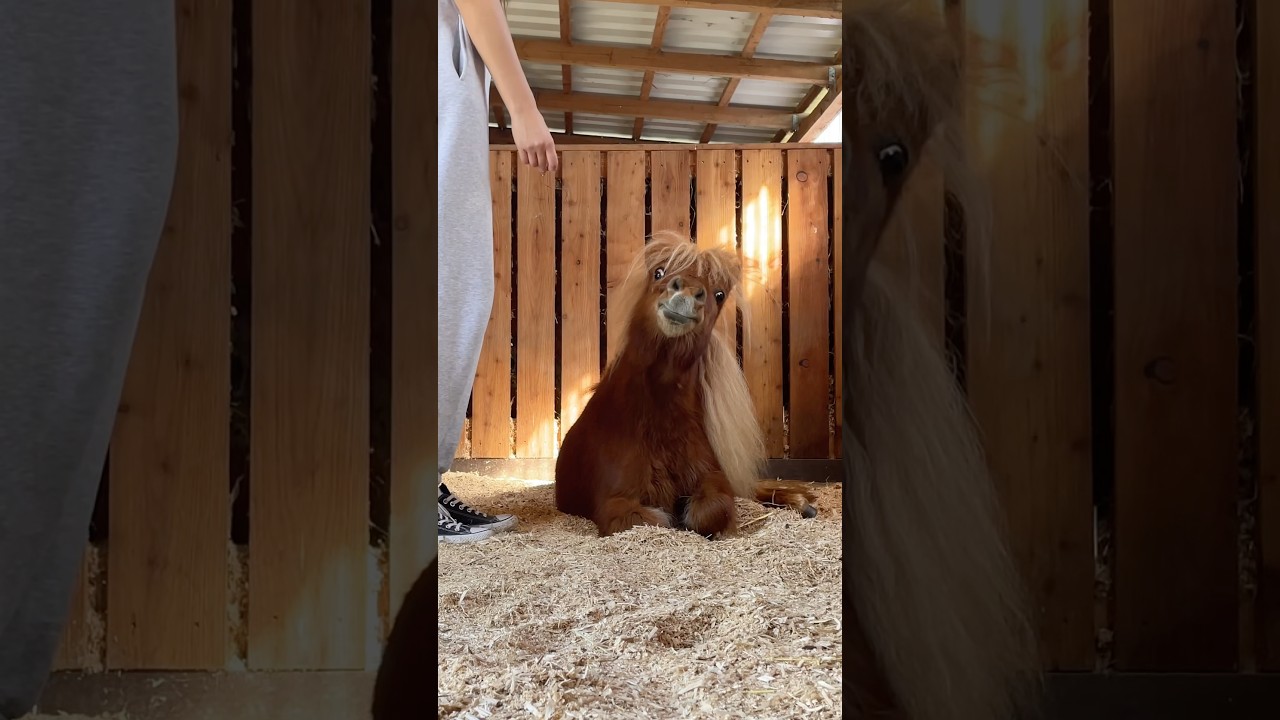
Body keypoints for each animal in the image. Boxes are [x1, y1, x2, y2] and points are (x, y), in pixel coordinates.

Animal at [554, 231, 817, 538]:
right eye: (658, 272)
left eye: (719, 294)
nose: (688, 293)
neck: (659, 422)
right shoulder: (615, 501)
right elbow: (653, 521)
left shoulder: (710, 478)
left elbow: (715, 509)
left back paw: (801, 500)